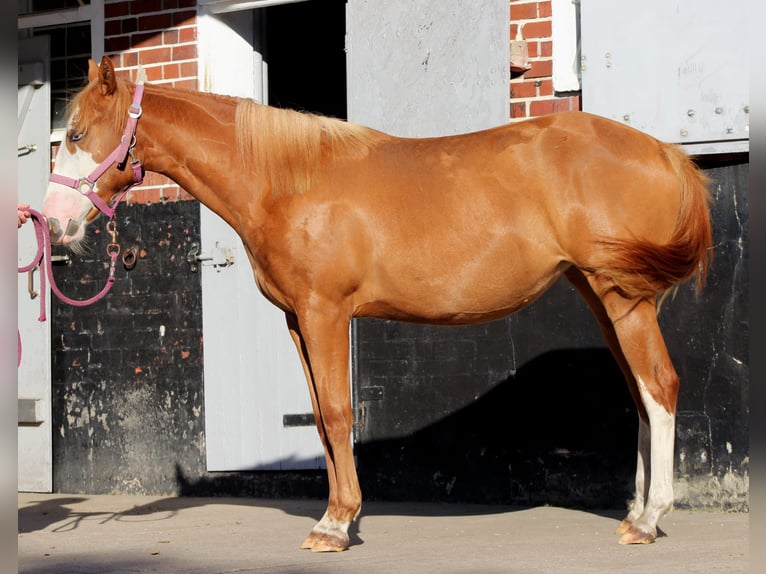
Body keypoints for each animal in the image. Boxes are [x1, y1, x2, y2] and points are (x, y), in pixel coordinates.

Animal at [42, 56, 712, 552]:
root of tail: (665, 152)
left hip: (623, 297)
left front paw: (336, 525)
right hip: (599, 295)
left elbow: (340, 413)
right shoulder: (297, 320)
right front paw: (337, 514)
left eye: (75, 135)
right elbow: (318, 416)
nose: (50, 224)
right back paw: (636, 513)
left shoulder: (326, 313)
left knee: (659, 385)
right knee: (641, 396)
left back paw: (649, 519)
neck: (290, 181)